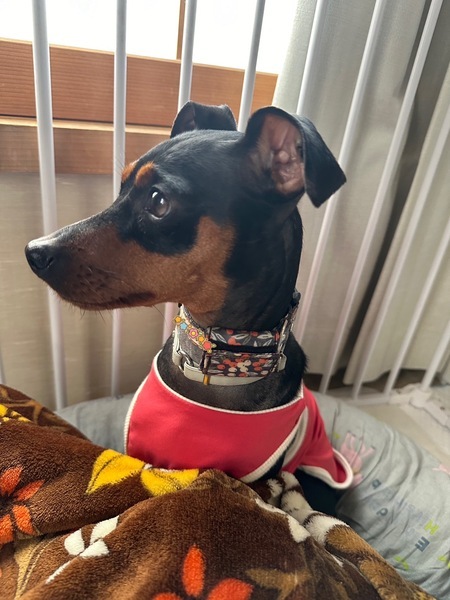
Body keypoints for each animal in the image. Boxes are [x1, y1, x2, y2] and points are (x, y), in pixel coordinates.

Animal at [26, 102, 352, 512]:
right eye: (120, 189)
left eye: (158, 202)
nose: (34, 252)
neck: (217, 365)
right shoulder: (140, 455)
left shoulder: (250, 480)